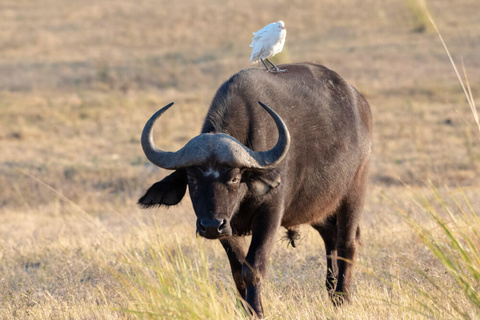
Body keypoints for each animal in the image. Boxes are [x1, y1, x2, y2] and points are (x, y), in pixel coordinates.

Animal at [138, 63, 372, 318]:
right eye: (192, 178)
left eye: (234, 178)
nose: (210, 226)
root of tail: (360, 103)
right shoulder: (227, 227)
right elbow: (238, 270)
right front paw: (244, 309)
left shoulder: (270, 215)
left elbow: (253, 267)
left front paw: (257, 311)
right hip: (316, 205)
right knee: (330, 236)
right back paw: (330, 290)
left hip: (355, 192)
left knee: (347, 243)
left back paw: (342, 297)